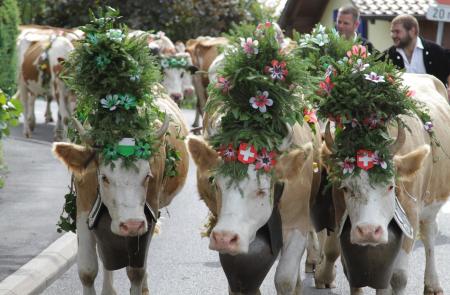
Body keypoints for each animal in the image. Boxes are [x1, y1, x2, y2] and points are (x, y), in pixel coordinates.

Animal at [51, 91, 189, 294]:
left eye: (147, 176)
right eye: (104, 177)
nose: (131, 225)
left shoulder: (149, 212)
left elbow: (136, 271)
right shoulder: (83, 205)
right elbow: (87, 270)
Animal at [188, 115, 322, 294]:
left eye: (261, 190)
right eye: (216, 185)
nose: (223, 238)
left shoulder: (298, 224)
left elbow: (285, 279)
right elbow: (240, 278)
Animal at [316, 72, 450, 295]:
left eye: (390, 186)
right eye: (346, 188)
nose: (369, 230)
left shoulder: (411, 213)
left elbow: (398, 276)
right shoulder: (341, 214)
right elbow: (351, 272)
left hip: (430, 204)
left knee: (429, 234)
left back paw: (433, 283)